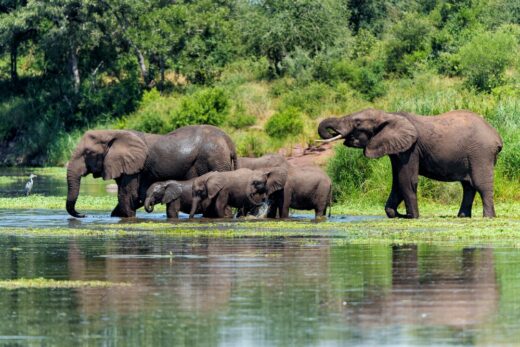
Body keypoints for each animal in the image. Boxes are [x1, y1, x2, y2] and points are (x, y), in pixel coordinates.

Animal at [65, 125, 238, 219]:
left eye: (88, 153)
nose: (84, 215)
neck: (112, 132)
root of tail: (229, 143)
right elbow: (131, 199)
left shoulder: (133, 167)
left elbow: (126, 196)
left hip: (214, 160)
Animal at [318, 109, 502, 219]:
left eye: (357, 123)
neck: (388, 115)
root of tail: (497, 136)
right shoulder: (397, 150)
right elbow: (397, 182)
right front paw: (397, 214)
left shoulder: (411, 149)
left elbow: (406, 180)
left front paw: (413, 217)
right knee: (468, 186)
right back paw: (462, 217)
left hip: (481, 153)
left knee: (481, 185)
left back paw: (488, 217)